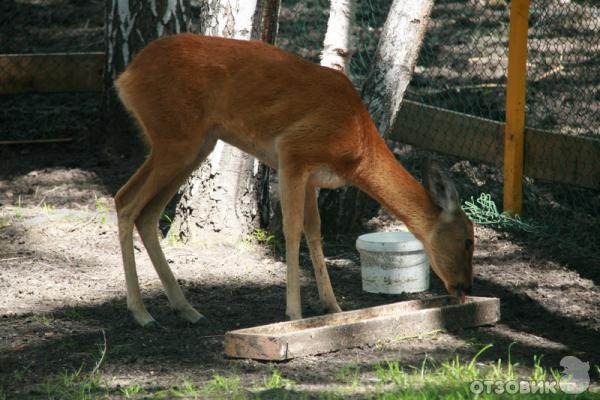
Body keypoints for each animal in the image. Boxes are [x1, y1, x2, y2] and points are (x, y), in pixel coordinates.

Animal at [116, 34, 474, 326]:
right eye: (469, 241)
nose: (465, 287)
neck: (355, 141)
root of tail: (125, 76)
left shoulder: (312, 177)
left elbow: (314, 230)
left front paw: (333, 308)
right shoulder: (292, 153)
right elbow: (291, 230)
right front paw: (294, 313)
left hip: (194, 145)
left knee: (146, 212)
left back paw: (186, 309)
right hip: (176, 139)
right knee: (126, 201)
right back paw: (141, 313)